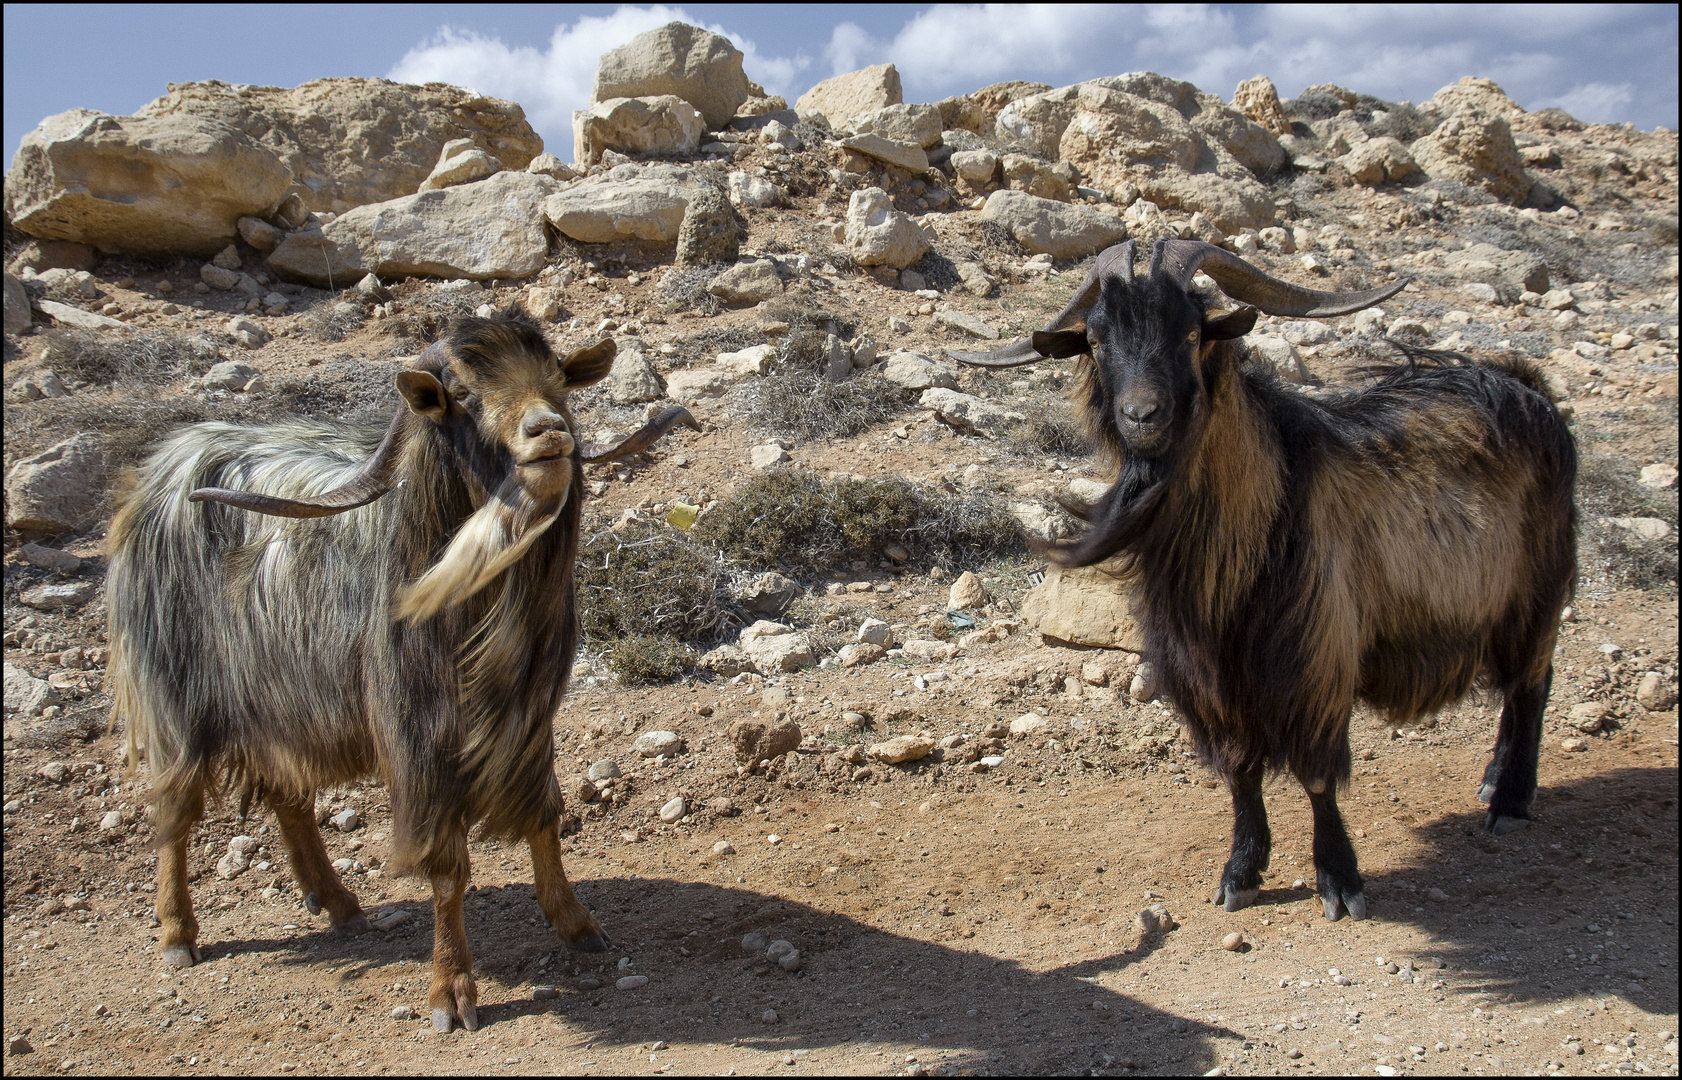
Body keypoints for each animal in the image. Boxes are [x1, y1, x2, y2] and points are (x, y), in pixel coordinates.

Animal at [106, 309, 696, 1022]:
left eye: (558, 376)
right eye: (462, 395)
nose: (548, 431)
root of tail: (161, 468)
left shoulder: (529, 722)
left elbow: (545, 817)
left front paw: (579, 925)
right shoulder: (420, 738)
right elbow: (447, 868)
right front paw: (452, 992)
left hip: (278, 704)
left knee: (286, 795)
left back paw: (339, 904)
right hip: (176, 695)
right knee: (174, 808)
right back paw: (177, 935)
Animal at [962, 237, 1574, 915]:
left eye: (1192, 331)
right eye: (1096, 339)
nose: (1141, 415)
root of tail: (1527, 385)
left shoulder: (1314, 661)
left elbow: (1316, 774)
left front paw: (1340, 881)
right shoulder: (1208, 676)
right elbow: (1239, 771)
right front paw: (1241, 872)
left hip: (1535, 591)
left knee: (1531, 684)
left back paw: (1510, 800)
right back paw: (1492, 781)